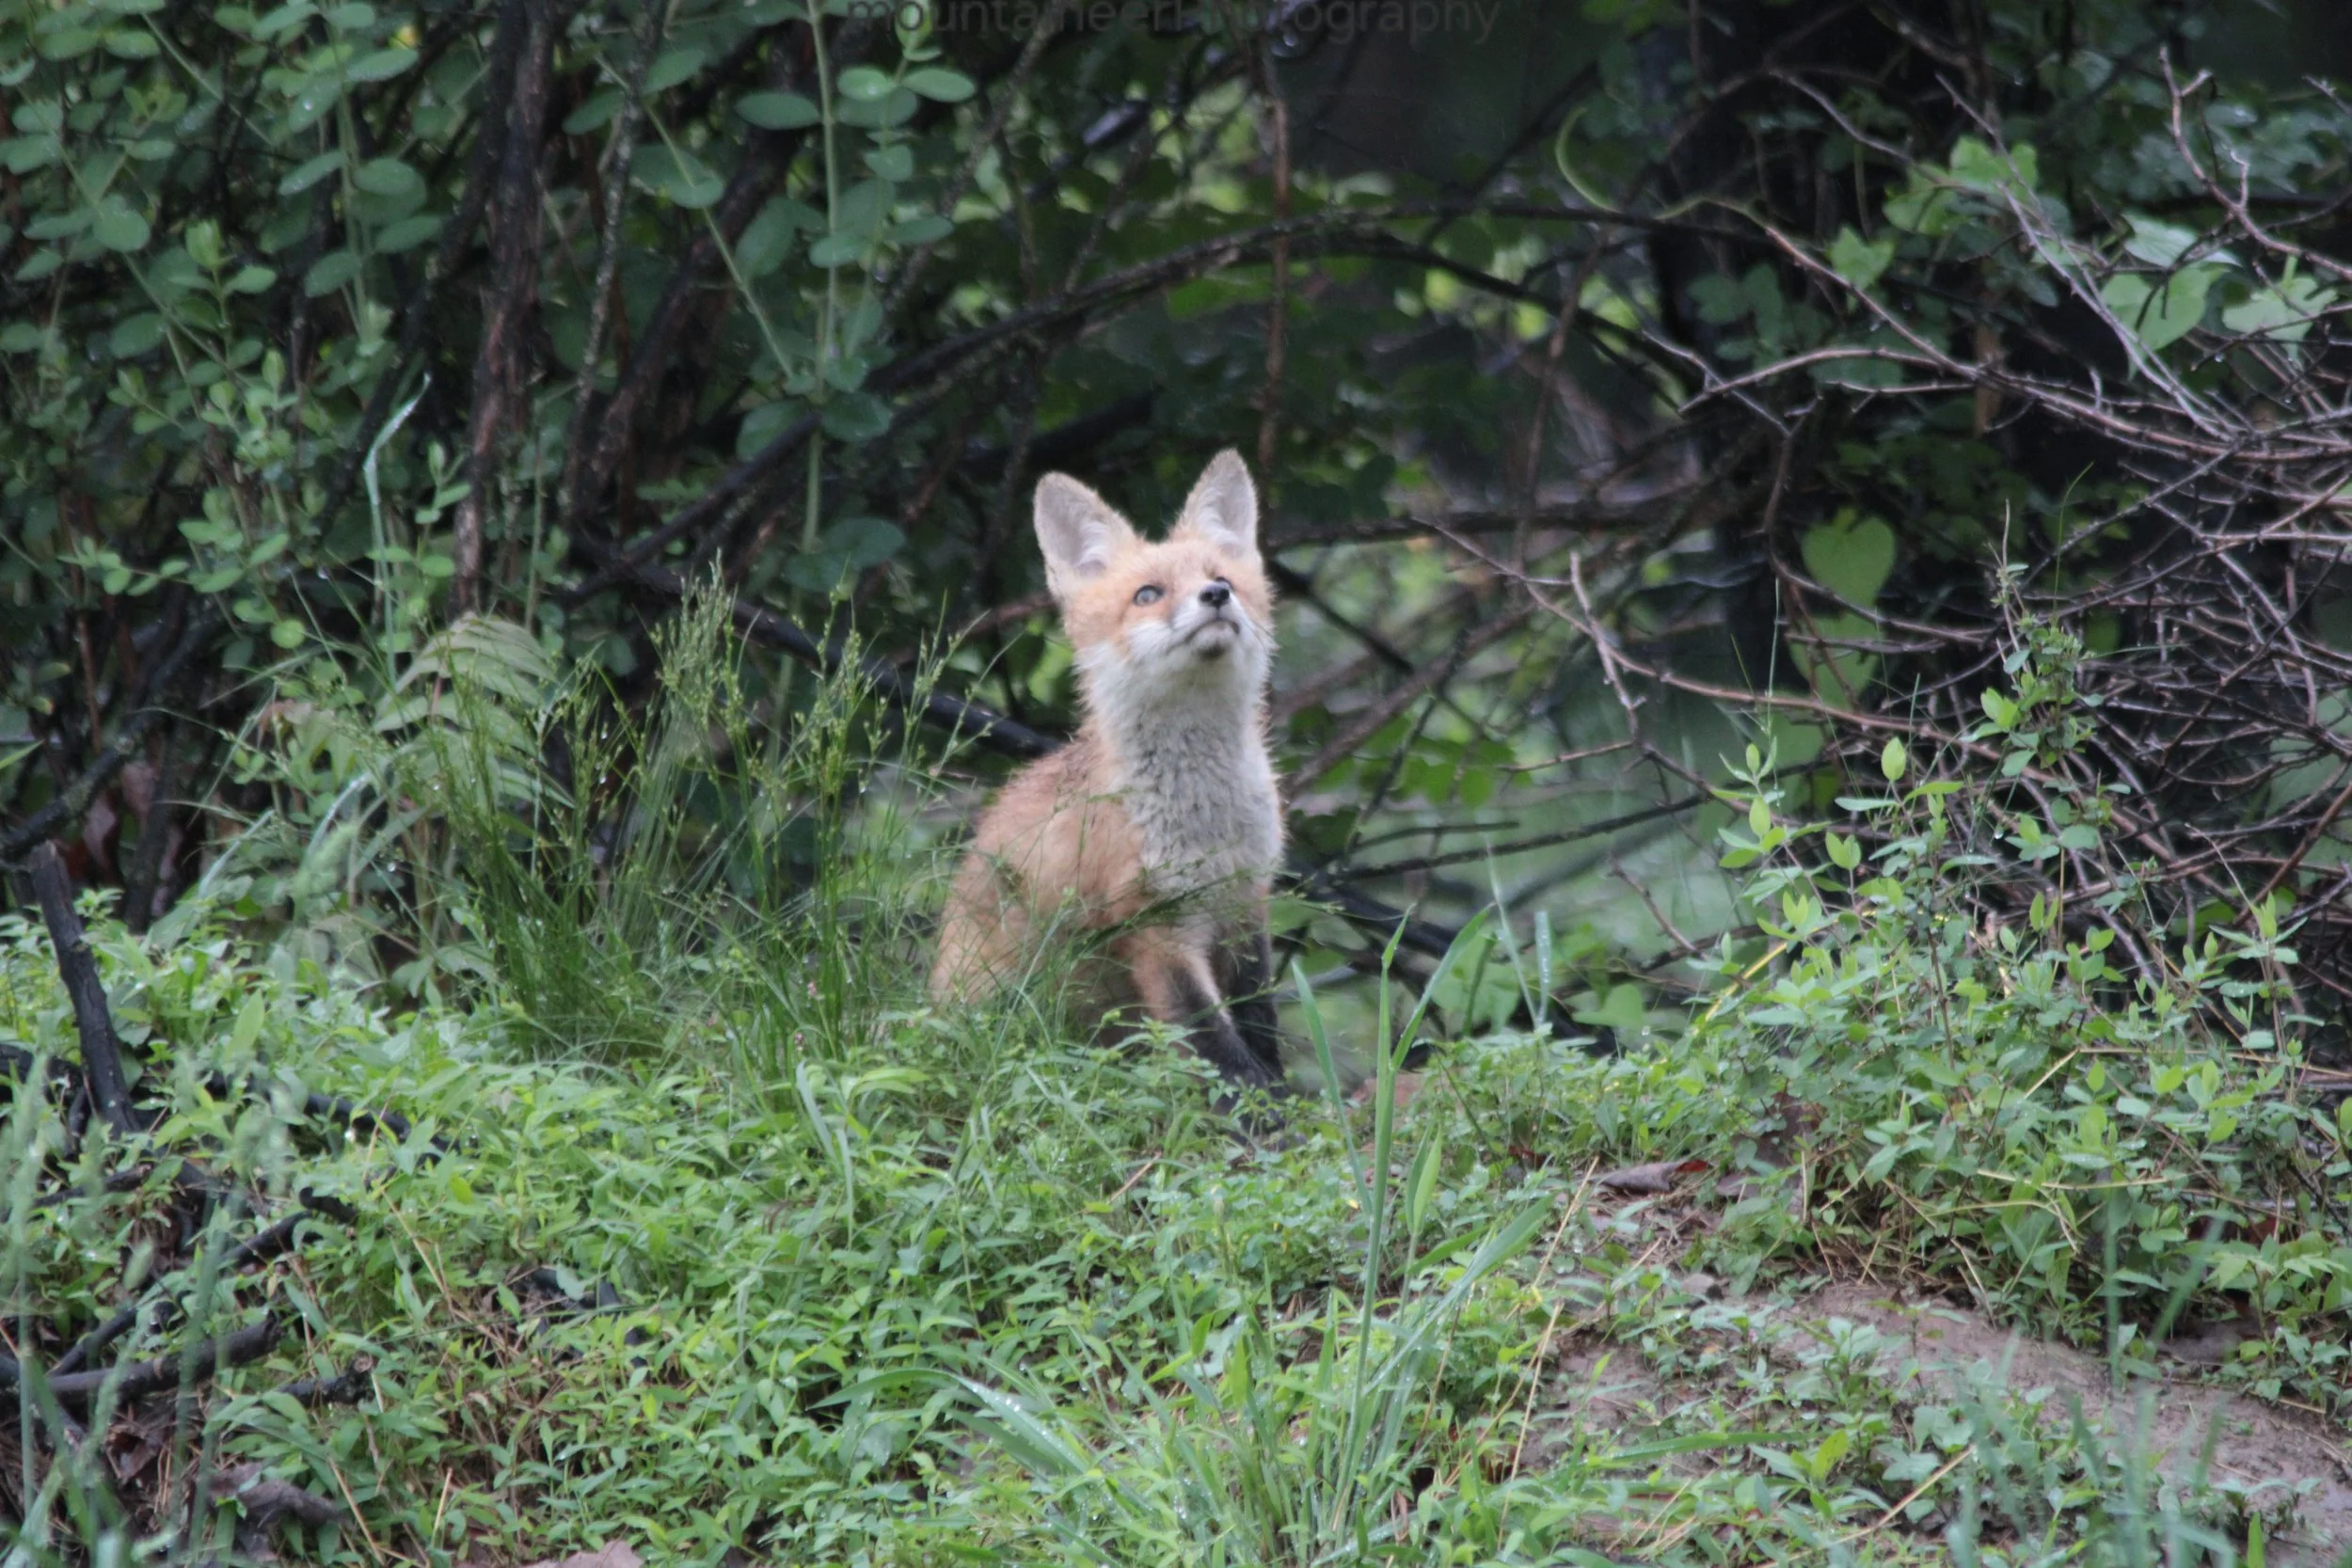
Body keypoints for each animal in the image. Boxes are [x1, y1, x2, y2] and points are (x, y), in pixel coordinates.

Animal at [930, 449, 1289, 1100]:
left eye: (1223, 576)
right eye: (1148, 593)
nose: (1216, 595)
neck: (1205, 820)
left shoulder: (1246, 901)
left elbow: (1261, 1026)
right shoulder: (1154, 923)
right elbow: (1215, 1047)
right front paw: (1262, 1113)